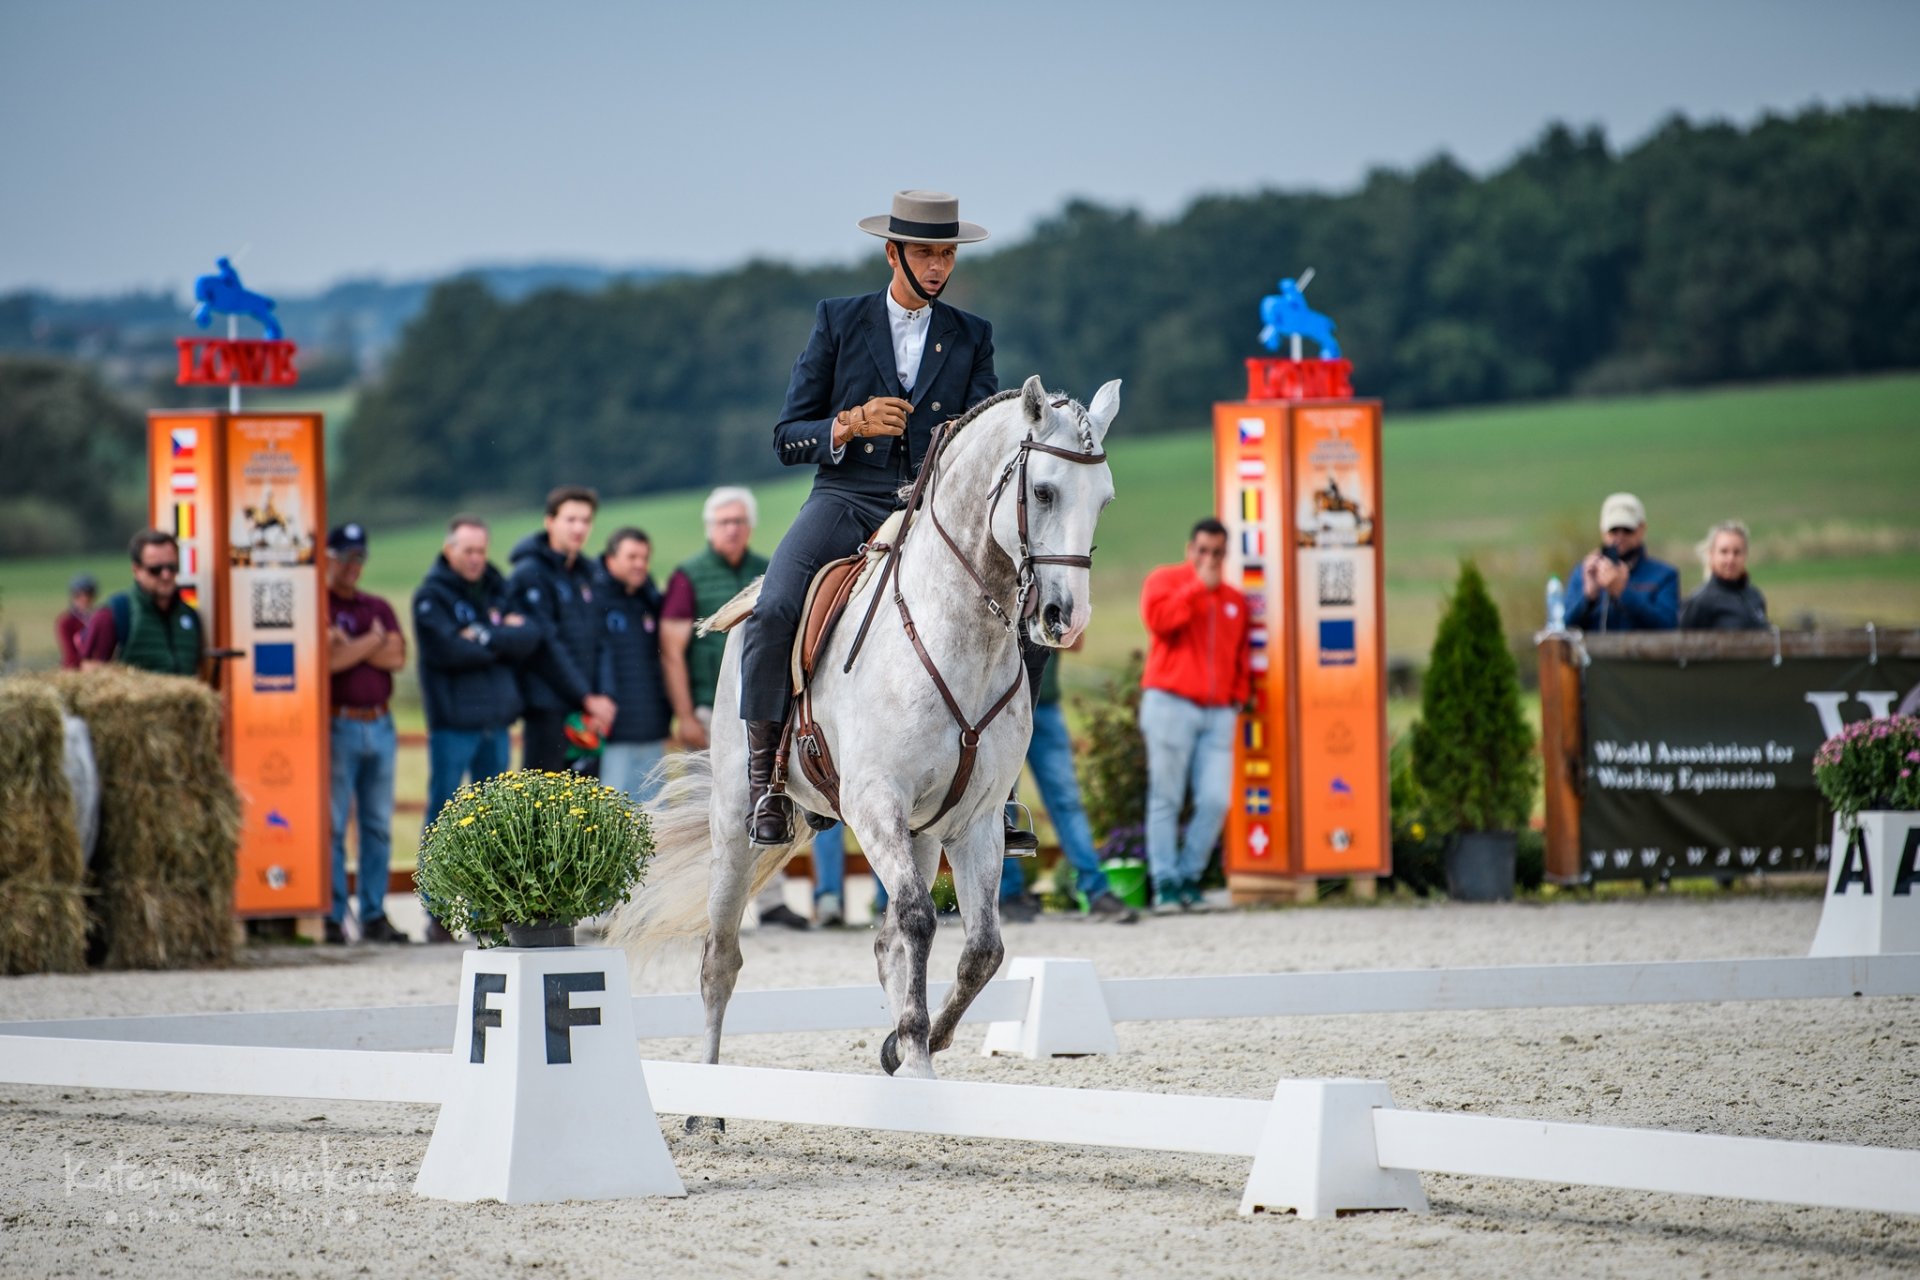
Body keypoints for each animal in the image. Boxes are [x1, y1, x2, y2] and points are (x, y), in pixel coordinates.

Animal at [614, 378, 1121, 1090]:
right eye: (1043, 492)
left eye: (1103, 499)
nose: (1063, 619)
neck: (959, 635)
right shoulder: (876, 802)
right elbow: (917, 920)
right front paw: (916, 1059)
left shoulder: (977, 821)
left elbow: (981, 950)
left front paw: (910, 1048)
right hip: (735, 824)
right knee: (720, 960)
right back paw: (707, 1100)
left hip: (923, 833)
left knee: (889, 943)